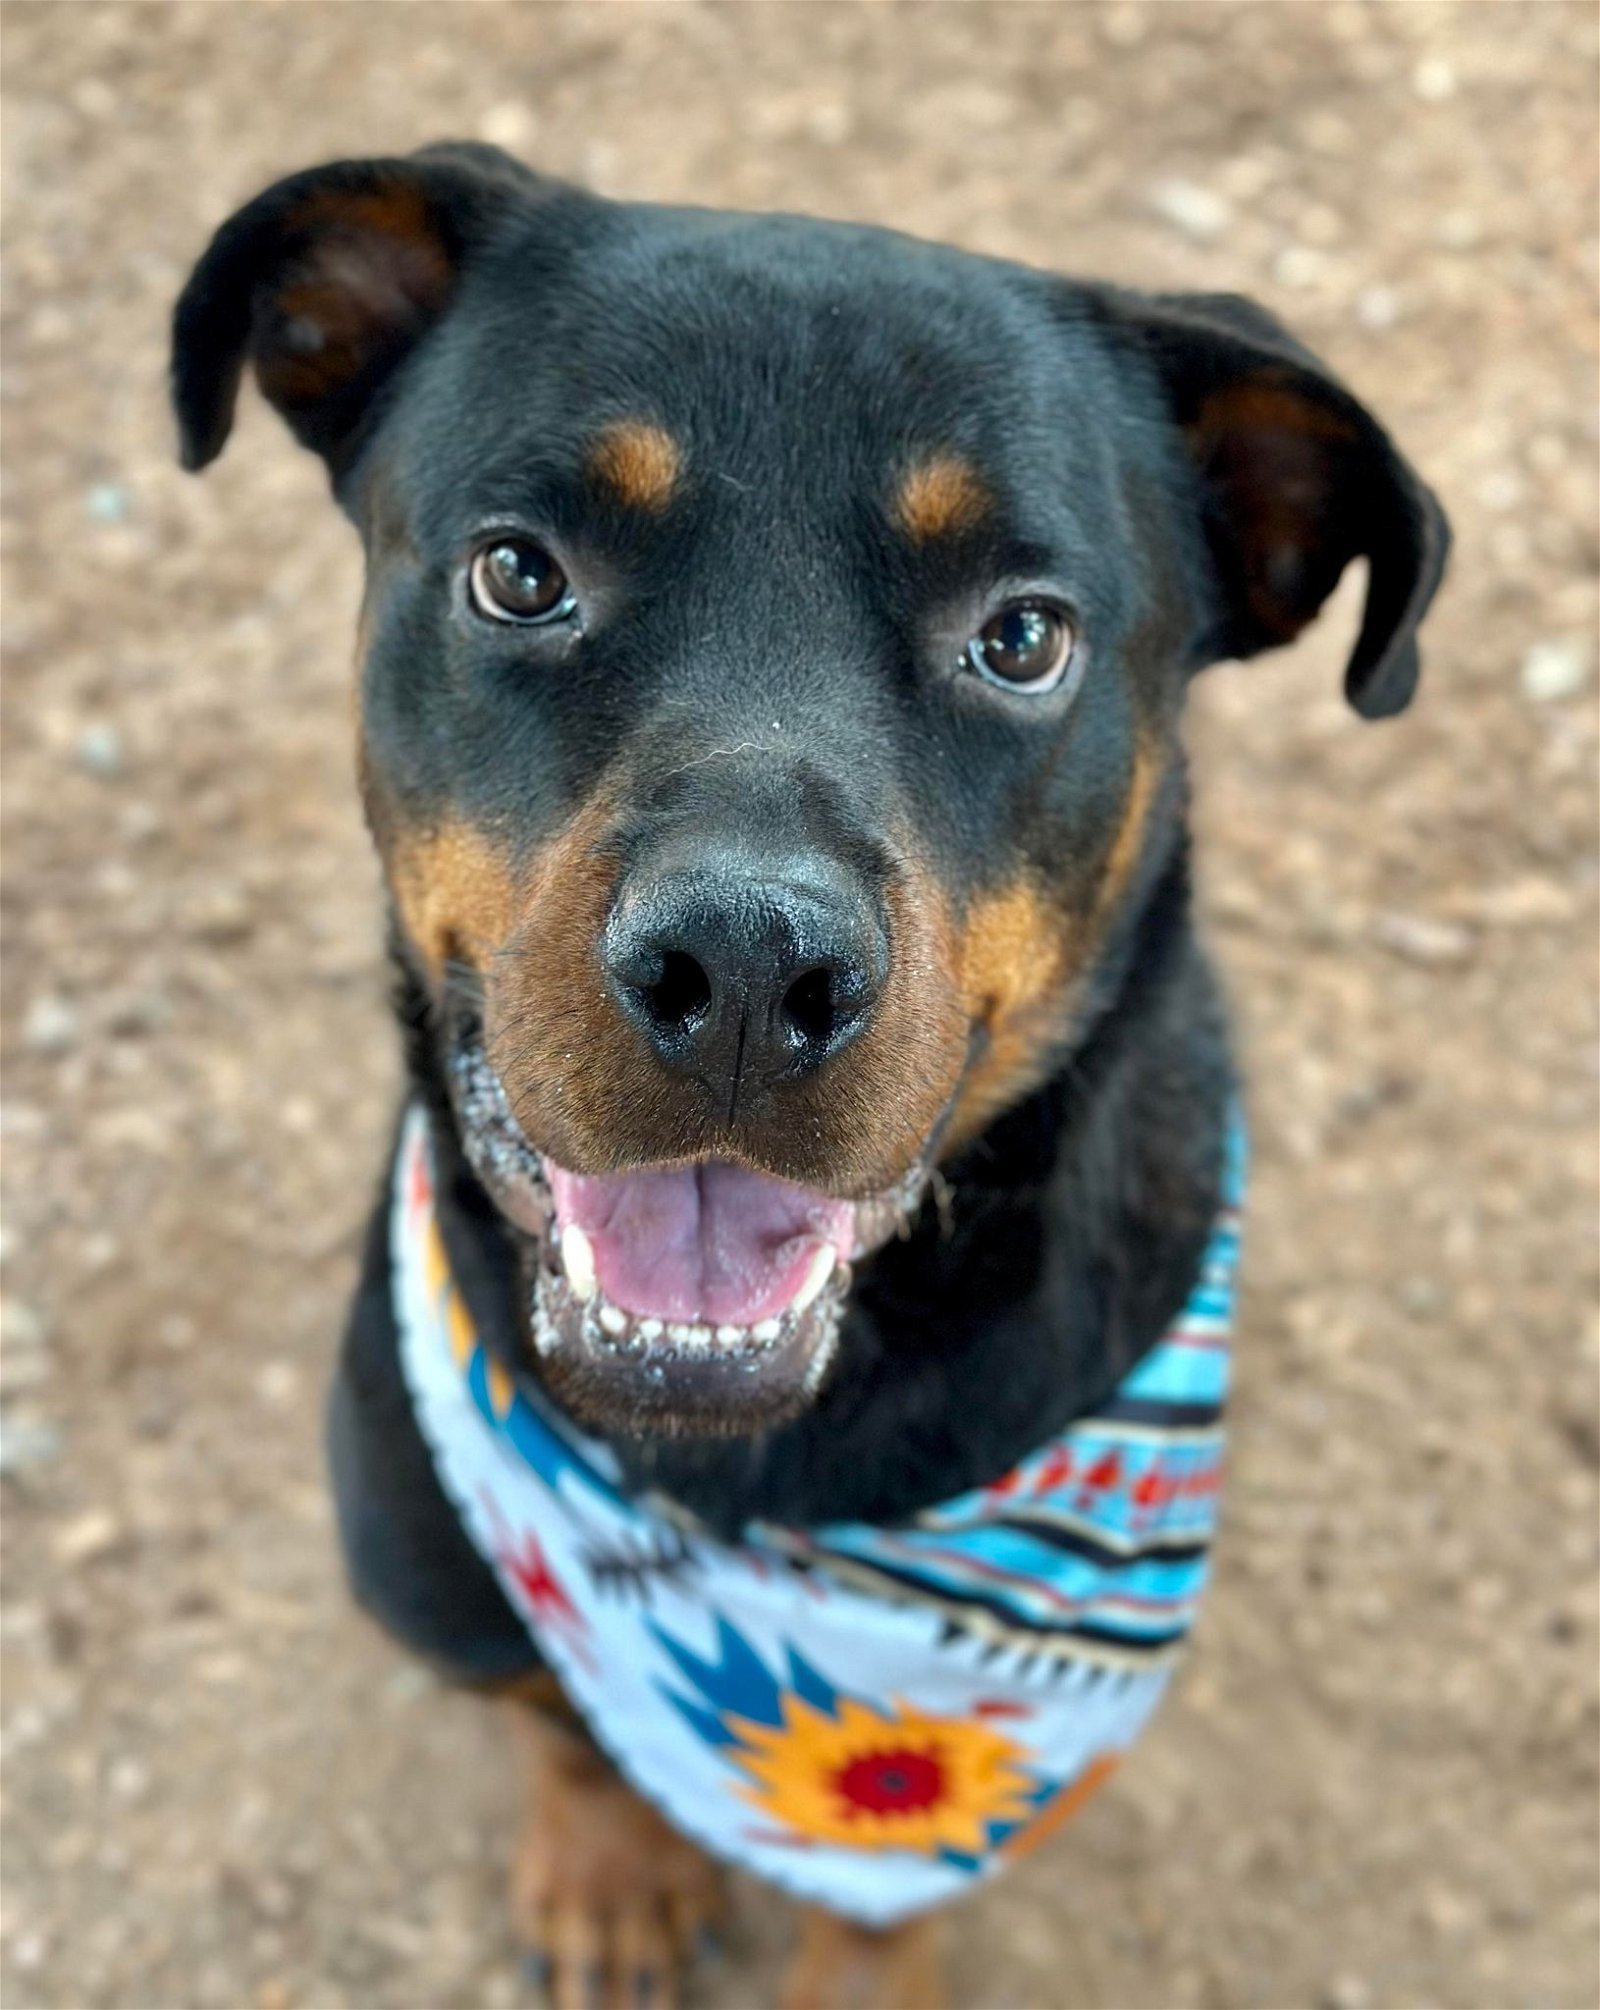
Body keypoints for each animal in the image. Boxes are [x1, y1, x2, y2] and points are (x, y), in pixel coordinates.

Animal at [171, 145, 1447, 2010]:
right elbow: (553, 1722)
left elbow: (880, 1900)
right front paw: (609, 1876)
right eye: (518, 574)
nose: (749, 974)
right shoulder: (429, 1567)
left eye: (1023, 637)